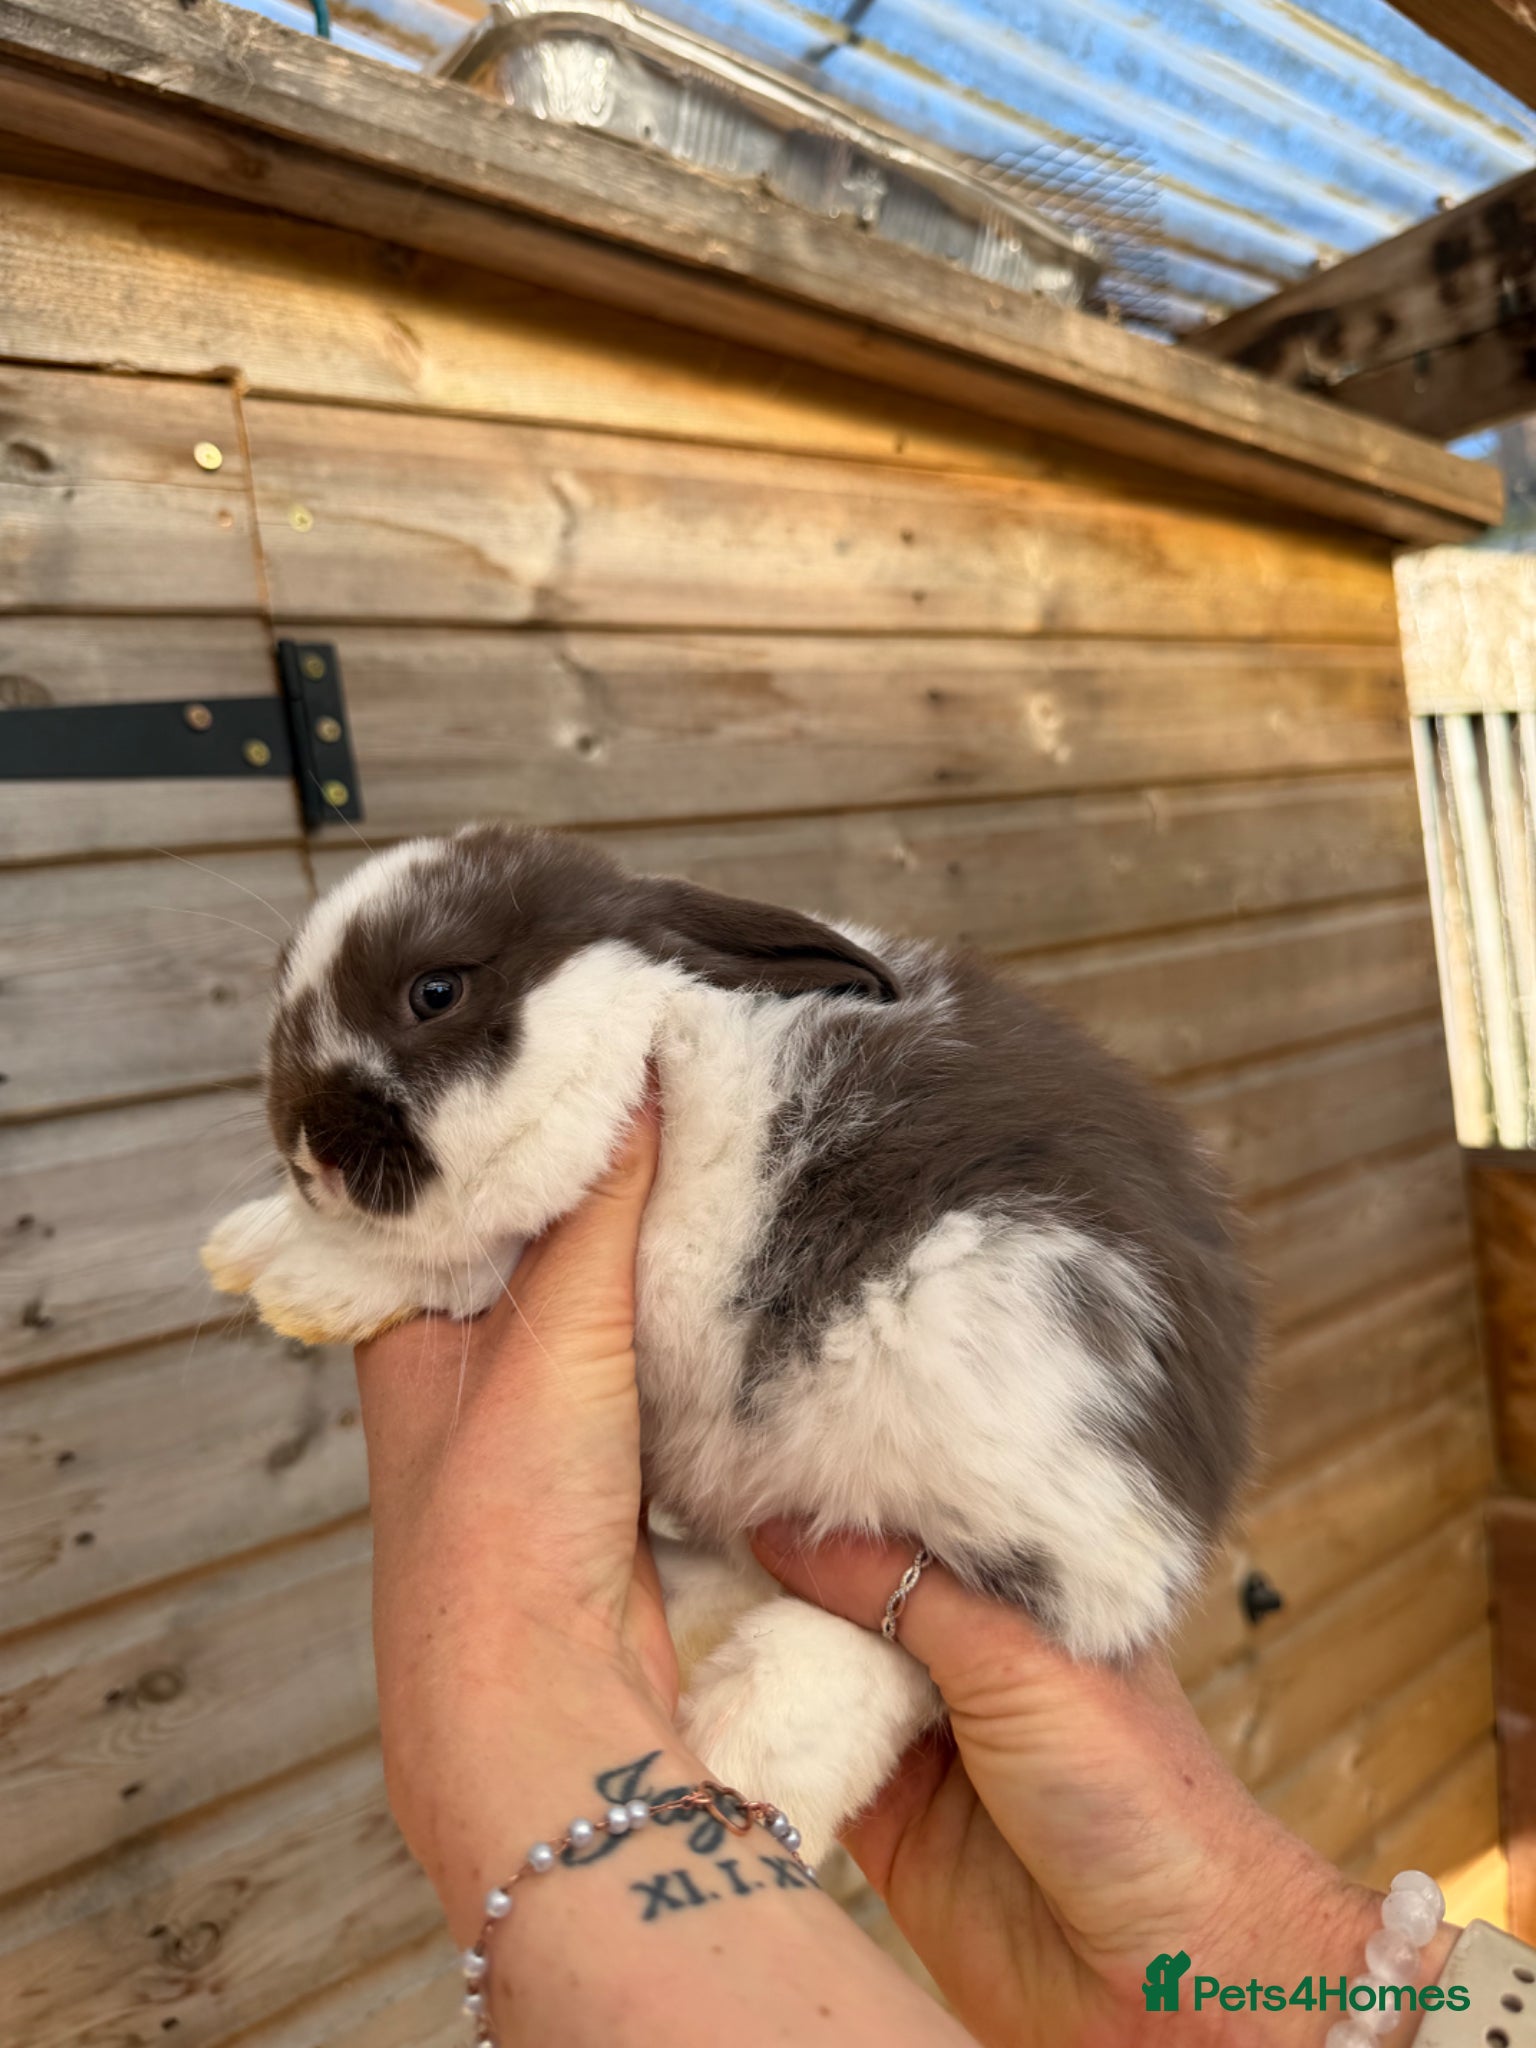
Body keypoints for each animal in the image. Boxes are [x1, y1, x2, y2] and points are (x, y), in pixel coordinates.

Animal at [204, 823, 1254, 1858]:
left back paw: (740, 1747)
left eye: (436, 991)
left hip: (983, 1437)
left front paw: (291, 1273)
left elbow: (469, 1248)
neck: (648, 1026)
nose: (306, 1148)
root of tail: (1171, 1533)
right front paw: (254, 1245)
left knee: (915, 1637)